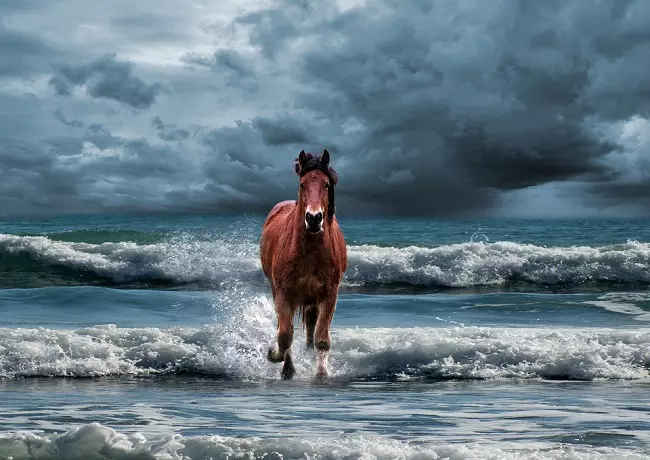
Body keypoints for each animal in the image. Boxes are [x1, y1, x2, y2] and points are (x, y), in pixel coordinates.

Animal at [260, 148, 346, 380]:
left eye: (326, 184)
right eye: (302, 184)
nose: (314, 218)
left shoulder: (329, 295)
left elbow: (322, 338)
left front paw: (321, 374)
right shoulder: (284, 293)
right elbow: (284, 335)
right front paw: (275, 357)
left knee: (311, 326)